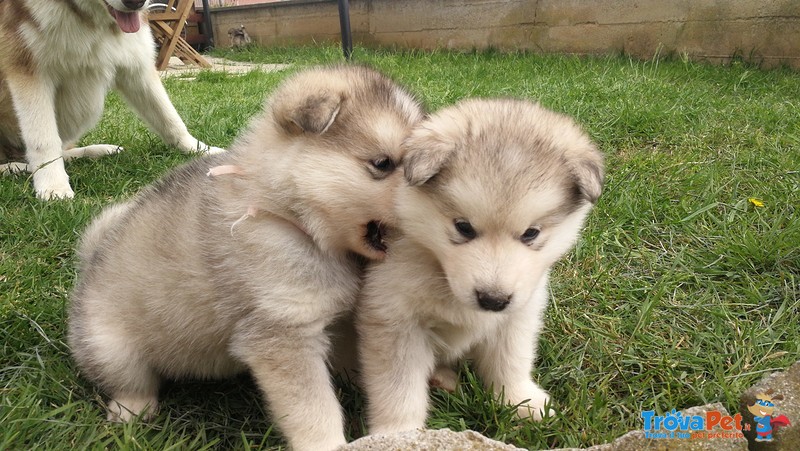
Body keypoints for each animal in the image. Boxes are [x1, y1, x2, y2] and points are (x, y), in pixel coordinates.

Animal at [0, 0, 223, 199]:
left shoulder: (135, 65)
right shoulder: (29, 70)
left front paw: (200, 149)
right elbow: (43, 138)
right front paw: (53, 184)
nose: (135, 2)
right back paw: (13, 168)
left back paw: (102, 150)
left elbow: (170, 118)